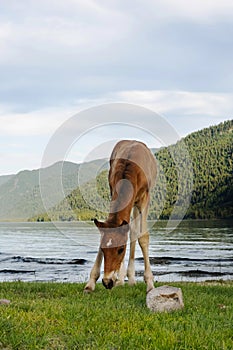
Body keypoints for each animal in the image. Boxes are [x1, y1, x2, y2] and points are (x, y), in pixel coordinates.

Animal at [83, 139, 157, 292]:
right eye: (103, 249)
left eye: (121, 249)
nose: (107, 282)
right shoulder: (112, 192)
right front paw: (91, 282)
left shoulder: (145, 198)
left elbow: (143, 236)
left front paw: (150, 282)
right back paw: (122, 279)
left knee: (134, 231)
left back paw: (131, 279)